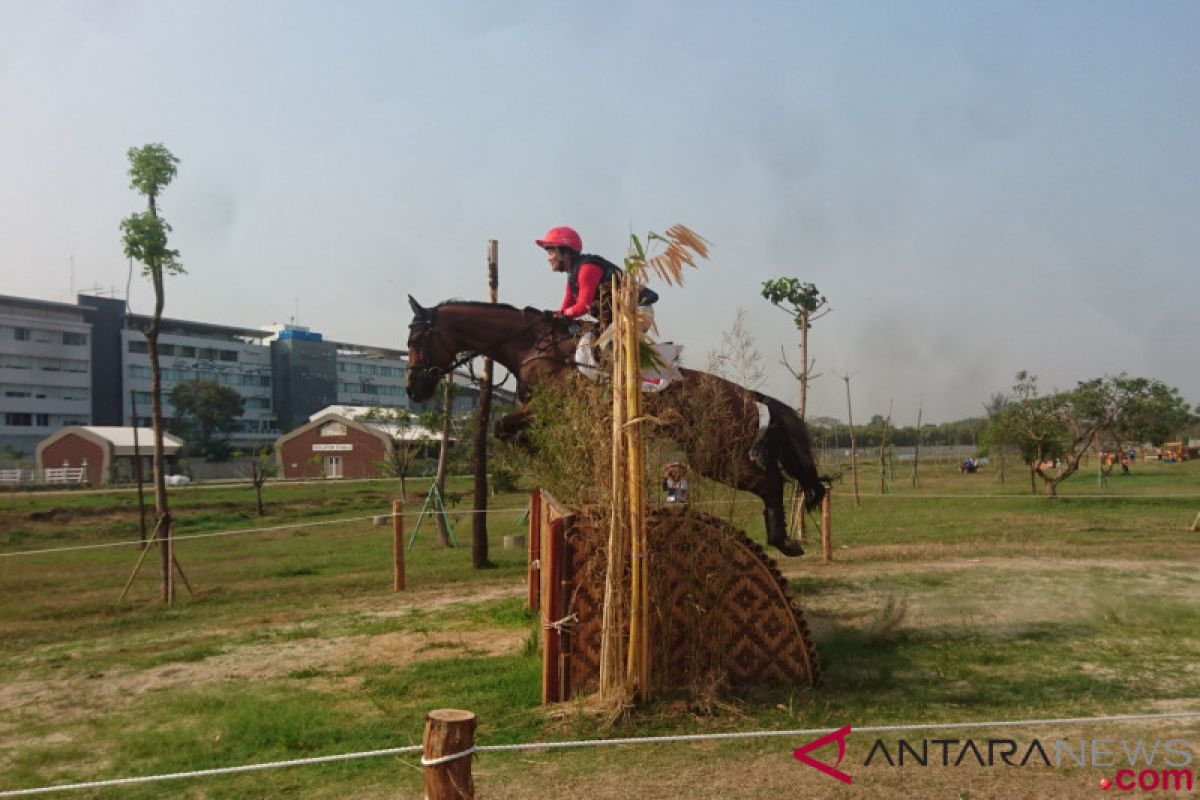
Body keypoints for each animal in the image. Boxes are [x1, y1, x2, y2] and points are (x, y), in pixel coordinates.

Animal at [403, 296, 825, 556]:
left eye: (418, 339)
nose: (412, 389)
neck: (531, 347)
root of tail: (747, 395)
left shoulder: (551, 407)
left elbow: (504, 427)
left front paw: (545, 455)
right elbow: (507, 430)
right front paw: (547, 457)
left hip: (715, 456)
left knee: (771, 481)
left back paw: (784, 541)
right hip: (715, 454)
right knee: (771, 479)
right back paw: (783, 539)